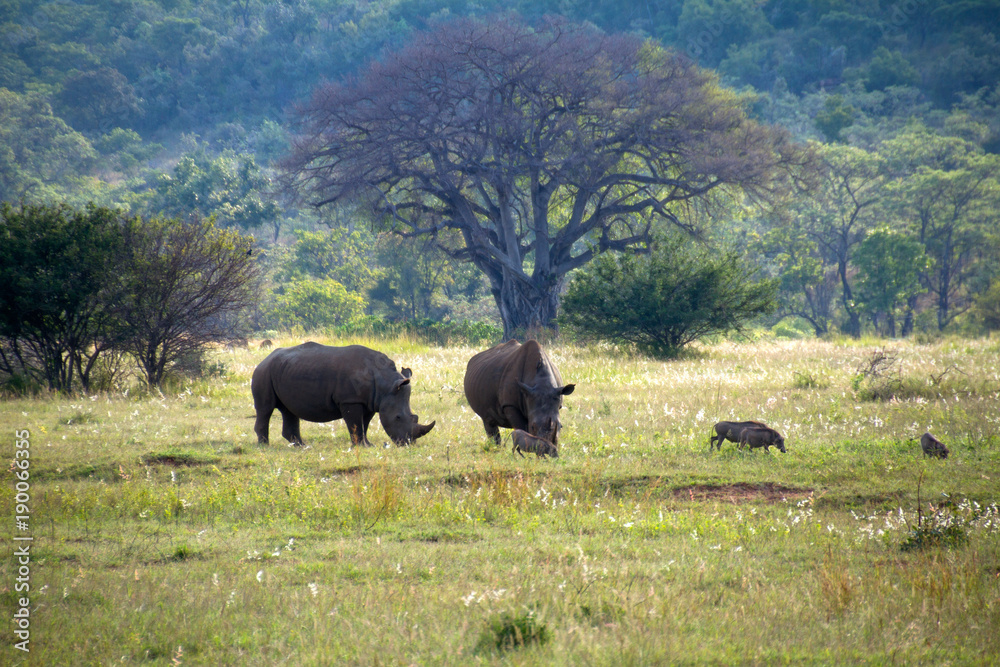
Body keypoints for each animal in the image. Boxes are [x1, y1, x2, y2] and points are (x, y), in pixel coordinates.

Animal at [250, 344, 434, 448]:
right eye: (397, 417)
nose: (408, 443)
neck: (386, 383)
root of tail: (263, 359)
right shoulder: (350, 400)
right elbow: (355, 424)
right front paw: (361, 446)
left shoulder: (369, 402)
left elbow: (364, 424)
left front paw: (368, 445)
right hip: (263, 372)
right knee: (265, 409)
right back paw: (264, 446)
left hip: (284, 370)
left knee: (289, 410)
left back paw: (301, 446)